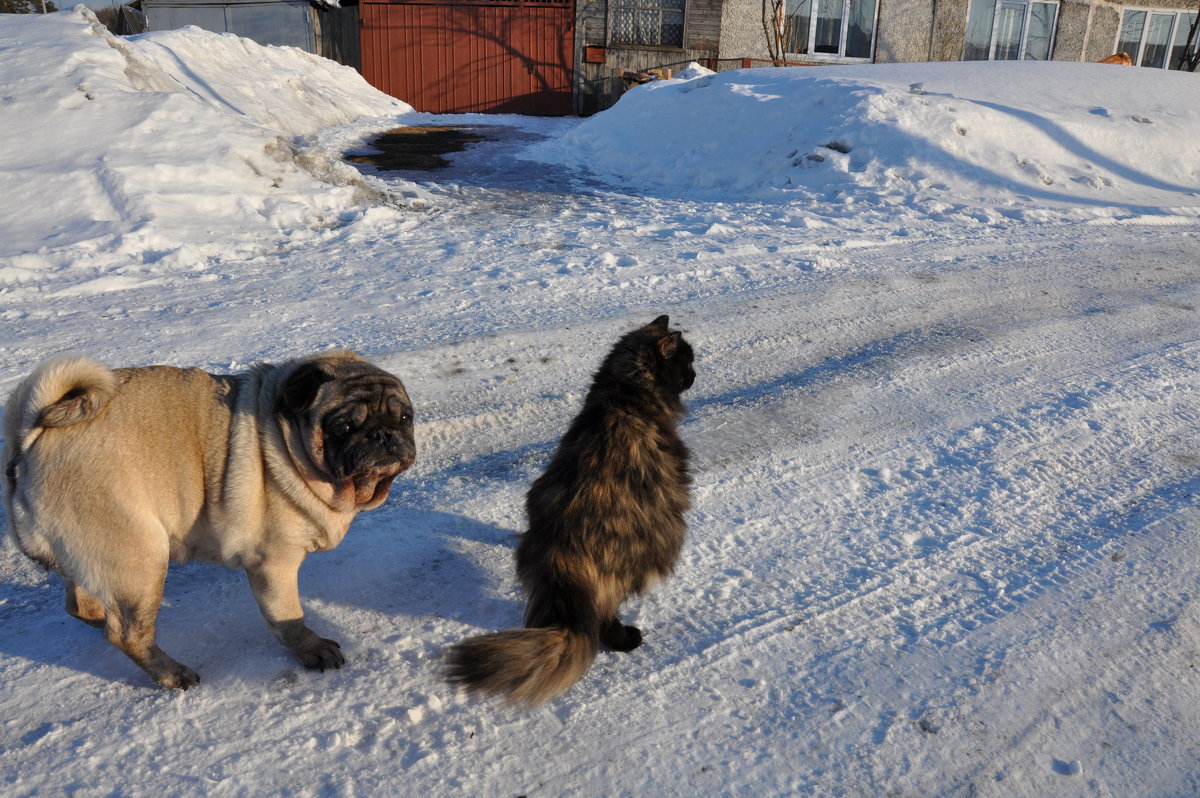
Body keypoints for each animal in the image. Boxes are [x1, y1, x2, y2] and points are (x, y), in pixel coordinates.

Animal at [3, 352, 417, 686]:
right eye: (342, 426)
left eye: (405, 418)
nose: (384, 434)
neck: (287, 445)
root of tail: (29, 441)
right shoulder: (275, 564)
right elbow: (289, 618)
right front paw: (311, 650)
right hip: (138, 559)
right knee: (128, 634)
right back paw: (172, 674)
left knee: (83, 606)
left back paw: (103, 620)